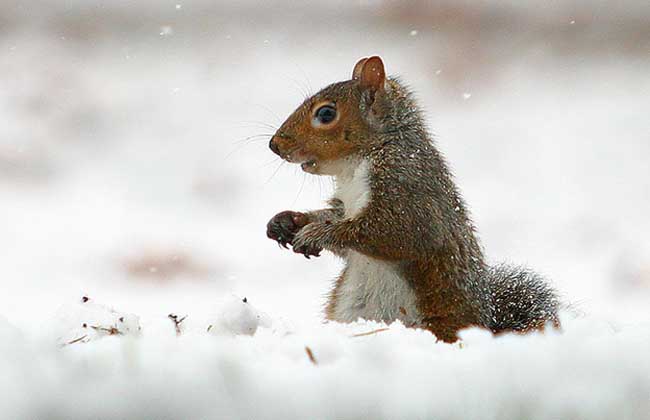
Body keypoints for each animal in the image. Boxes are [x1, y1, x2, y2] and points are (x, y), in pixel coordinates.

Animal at [266, 56, 560, 344]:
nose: (274, 145)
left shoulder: (407, 188)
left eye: (326, 114)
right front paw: (288, 221)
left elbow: (390, 234)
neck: (357, 164)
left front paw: (318, 233)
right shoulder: (345, 203)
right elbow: (335, 218)